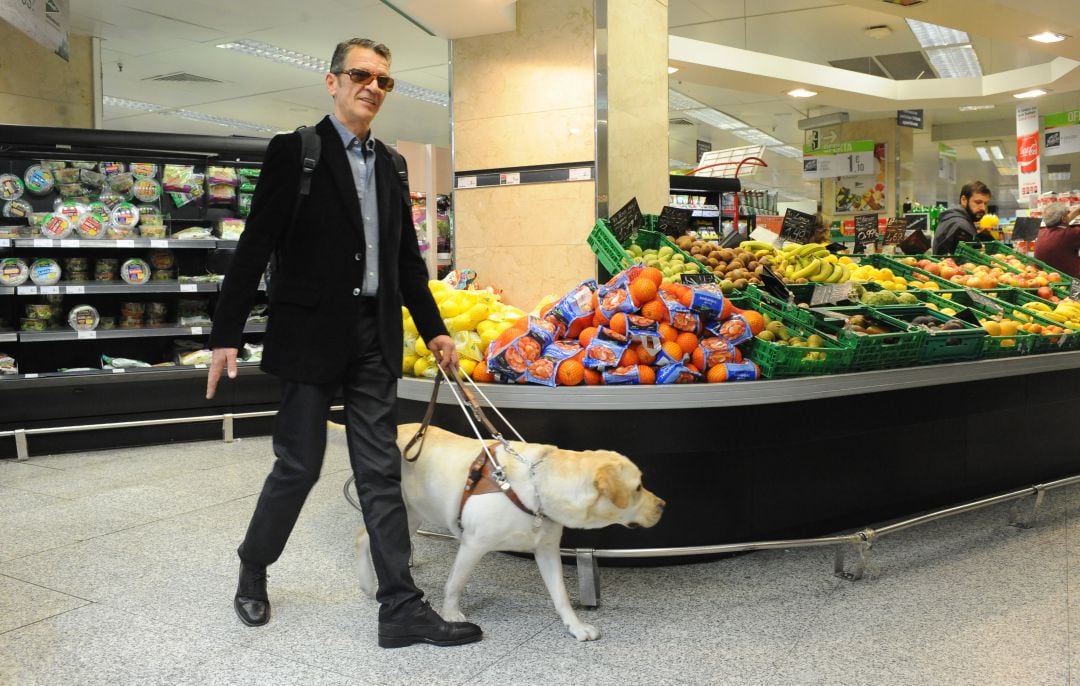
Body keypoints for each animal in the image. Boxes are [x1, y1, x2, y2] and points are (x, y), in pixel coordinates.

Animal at [349, 421, 660, 639]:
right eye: (638, 488)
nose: (663, 505)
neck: (536, 490)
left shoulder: (547, 552)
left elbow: (561, 596)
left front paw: (576, 626)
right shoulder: (472, 545)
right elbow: (455, 583)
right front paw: (450, 615)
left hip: (412, 515)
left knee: (365, 536)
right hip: (400, 509)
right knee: (363, 536)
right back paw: (368, 582)